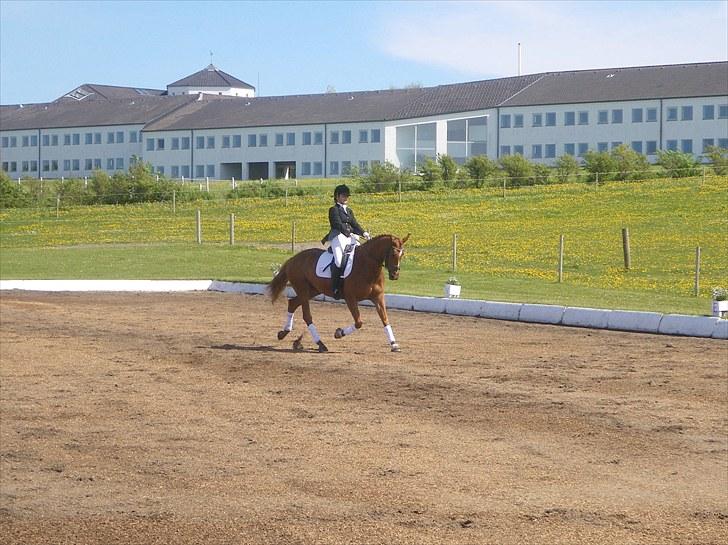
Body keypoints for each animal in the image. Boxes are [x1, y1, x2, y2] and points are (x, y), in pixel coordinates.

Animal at [268, 234, 410, 352]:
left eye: (402, 254)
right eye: (393, 253)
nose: (395, 275)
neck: (367, 265)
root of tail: (293, 259)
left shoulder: (378, 297)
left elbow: (385, 319)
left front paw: (394, 344)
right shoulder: (350, 298)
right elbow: (359, 322)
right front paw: (339, 333)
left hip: (312, 290)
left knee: (292, 303)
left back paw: (283, 333)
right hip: (303, 289)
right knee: (307, 316)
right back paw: (320, 344)